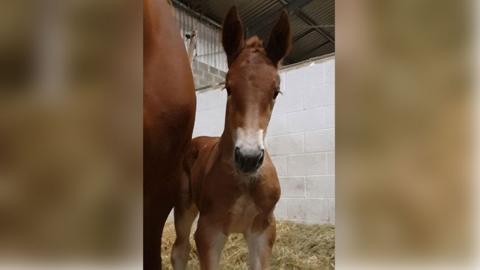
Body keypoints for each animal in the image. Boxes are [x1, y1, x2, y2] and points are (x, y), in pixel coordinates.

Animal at [172, 6, 292, 270]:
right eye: (227, 87)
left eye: (276, 91)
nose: (248, 158)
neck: (245, 181)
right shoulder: (209, 231)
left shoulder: (263, 231)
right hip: (184, 206)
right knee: (179, 250)